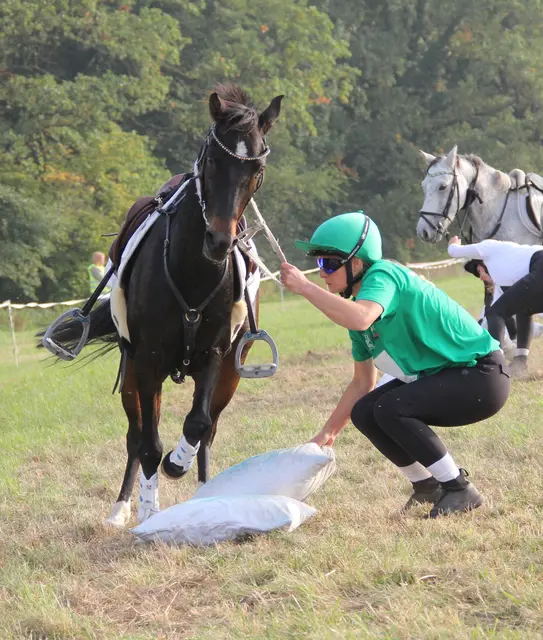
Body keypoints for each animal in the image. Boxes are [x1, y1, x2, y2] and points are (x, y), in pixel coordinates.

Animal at [46, 84, 283, 527]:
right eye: (213, 161)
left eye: (256, 170)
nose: (220, 241)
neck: (192, 272)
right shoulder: (148, 361)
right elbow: (148, 443)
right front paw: (147, 506)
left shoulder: (215, 356)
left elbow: (198, 424)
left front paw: (180, 462)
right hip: (134, 372)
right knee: (137, 435)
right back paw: (124, 506)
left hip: (229, 374)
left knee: (207, 430)